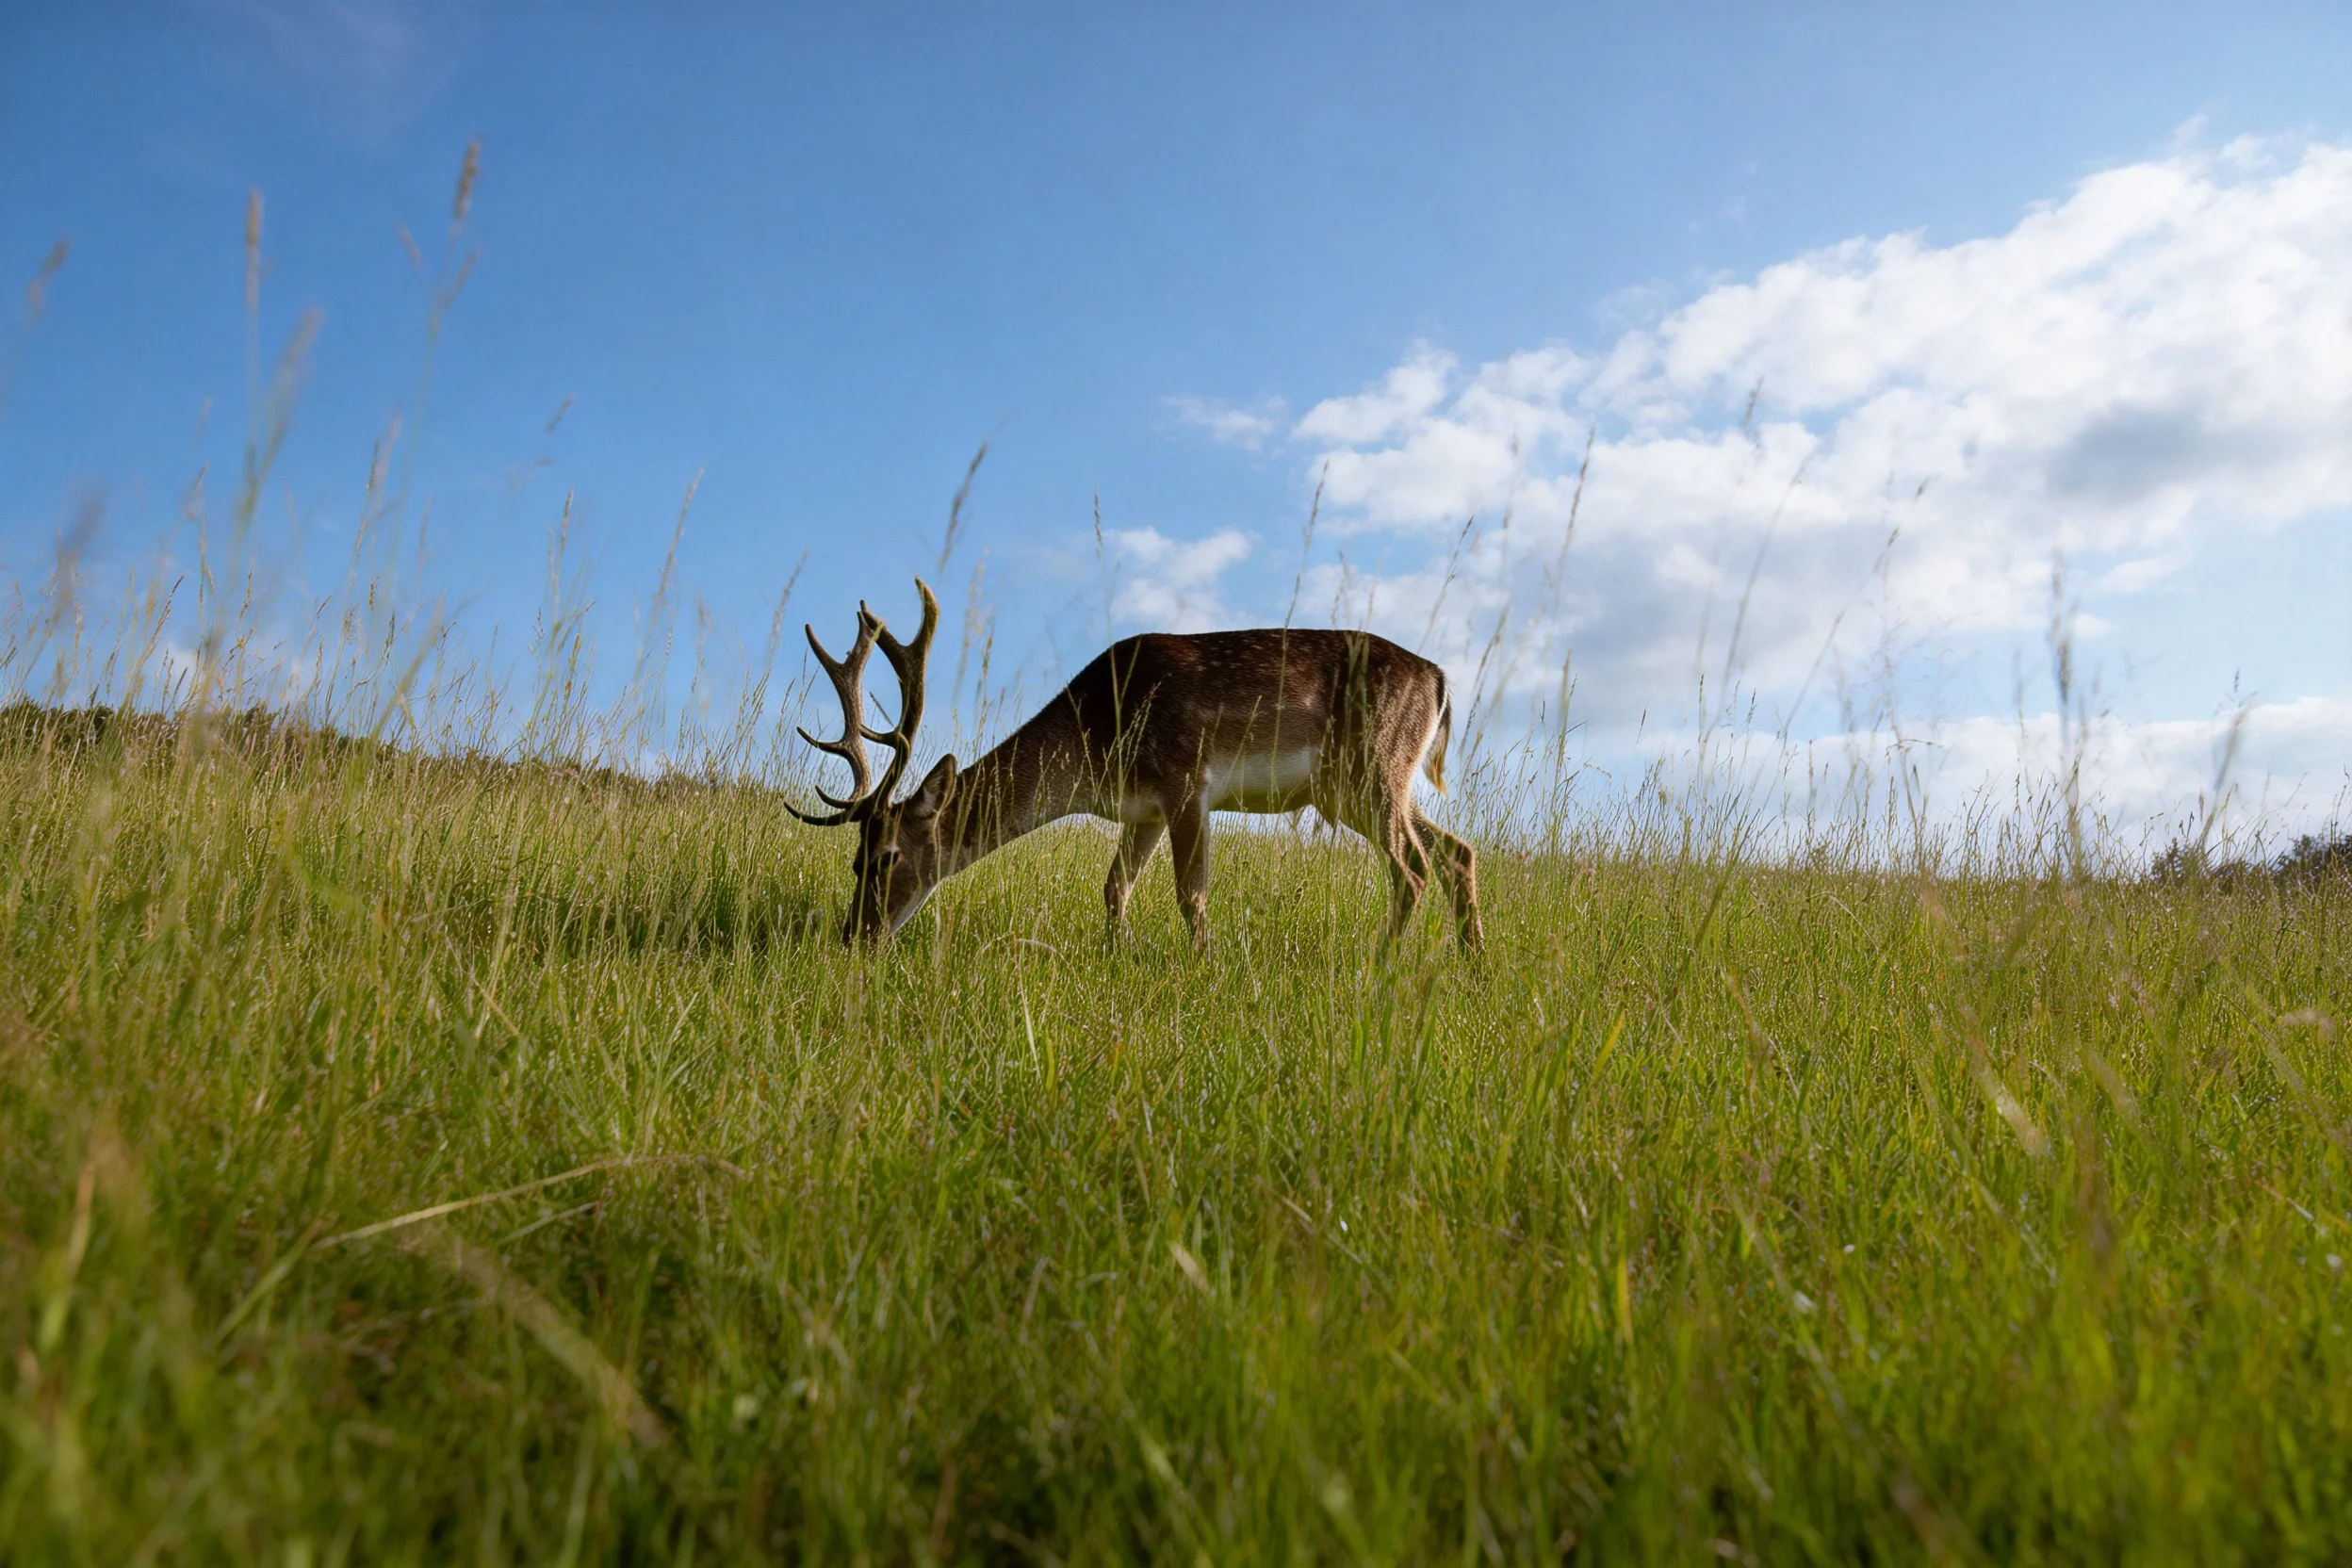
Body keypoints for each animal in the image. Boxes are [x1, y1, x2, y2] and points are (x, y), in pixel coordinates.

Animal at [786, 577, 1482, 952]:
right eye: (853, 859)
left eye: (886, 857)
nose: (854, 936)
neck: (1095, 740)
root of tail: (1440, 679)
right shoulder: (1141, 810)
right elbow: (1115, 888)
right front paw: (1116, 953)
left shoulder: (1187, 780)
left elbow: (1191, 895)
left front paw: (1203, 965)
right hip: (1363, 788)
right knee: (1457, 850)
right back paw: (1472, 964)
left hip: (1373, 770)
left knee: (1413, 869)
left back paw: (1381, 964)